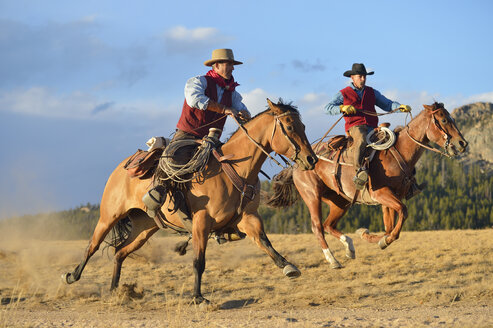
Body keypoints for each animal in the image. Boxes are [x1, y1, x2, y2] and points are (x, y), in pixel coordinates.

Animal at [61, 98, 318, 304]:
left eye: (304, 126)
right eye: (289, 126)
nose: (311, 159)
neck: (233, 168)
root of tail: (120, 168)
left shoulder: (248, 218)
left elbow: (265, 241)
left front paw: (288, 266)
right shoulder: (201, 222)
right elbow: (198, 261)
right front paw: (198, 297)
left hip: (145, 227)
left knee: (119, 252)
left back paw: (116, 291)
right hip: (109, 215)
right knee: (92, 246)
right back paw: (72, 276)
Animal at [268, 103, 468, 270]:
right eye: (443, 120)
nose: (462, 143)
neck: (398, 153)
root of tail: (297, 162)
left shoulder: (391, 198)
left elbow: (389, 226)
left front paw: (368, 235)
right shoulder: (381, 194)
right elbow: (402, 214)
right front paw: (383, 241)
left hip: (340, 201)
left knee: (328, 225)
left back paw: (349, 248)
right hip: (312, 196)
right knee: (317, 226)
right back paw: (333, 260)